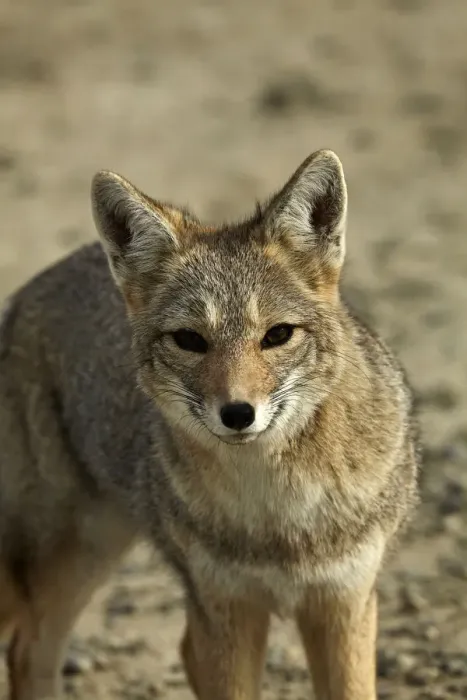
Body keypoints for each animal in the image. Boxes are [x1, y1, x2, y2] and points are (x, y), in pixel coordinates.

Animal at [0, 149, 419, 700]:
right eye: (190, 340)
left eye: (277, 335)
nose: (238, 413)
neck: (278, 518)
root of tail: (27, 292)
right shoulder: (225, 610)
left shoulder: (344, 602)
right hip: (76, 553)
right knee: (28, 649)